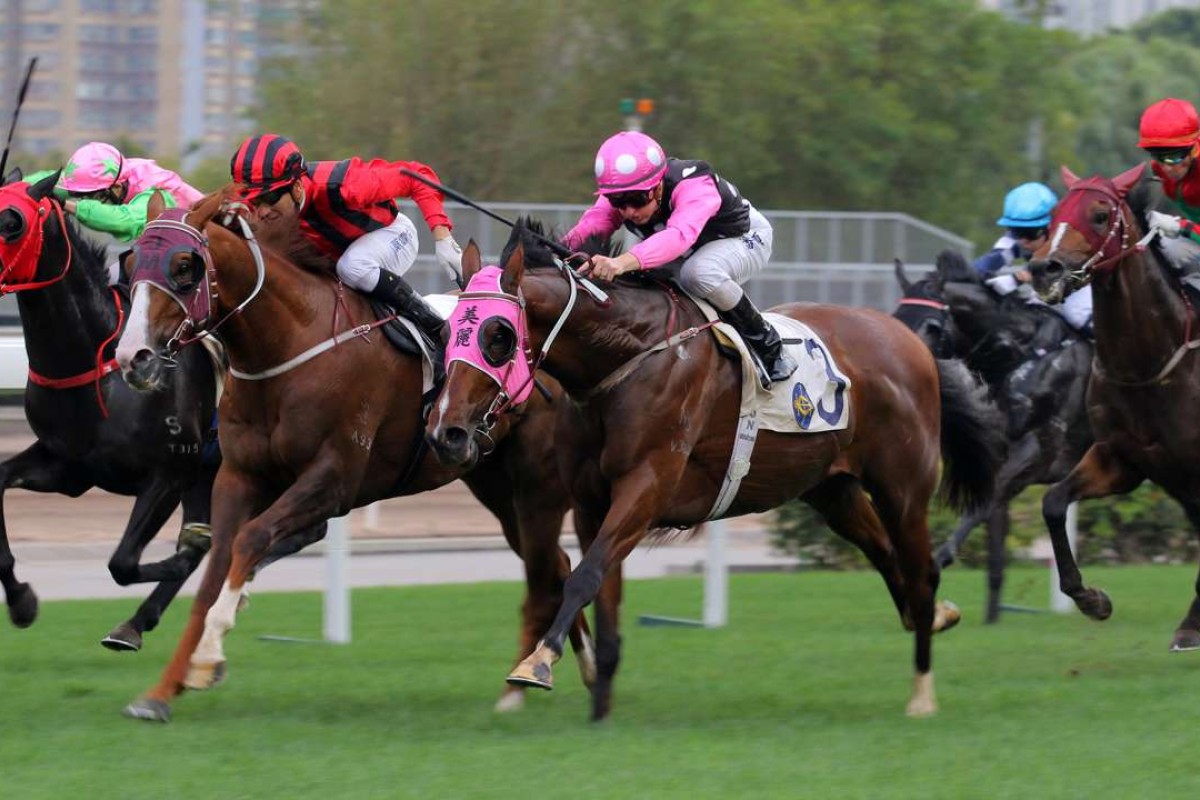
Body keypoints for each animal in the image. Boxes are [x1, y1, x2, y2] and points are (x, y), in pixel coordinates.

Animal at [0, 173, 220, 652]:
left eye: (11, 223)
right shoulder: (70, 467)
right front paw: (22, 602)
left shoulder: (168, 474)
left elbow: (124, 562)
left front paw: (180, 557)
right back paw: (136, 621)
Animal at [117, 189, 595, 724]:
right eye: (131, 261)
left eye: (185, 265)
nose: (133, 357)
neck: (288, 344)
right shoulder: (239, 476)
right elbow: (215, 568)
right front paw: (163, 690)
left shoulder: (334, 479)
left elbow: (251, 538)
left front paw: (208, 657)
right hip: (492, 481)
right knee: (551, 561)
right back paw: (554, 670)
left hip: (536, 485)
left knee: (545, 568)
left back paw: (539, 675)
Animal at [424, 221, 1003, 724]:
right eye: (447, 330)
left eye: (498, 335)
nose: (445, 432)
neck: (626, 357)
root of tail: (908, 337)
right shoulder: (591, 500)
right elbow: (598, 588)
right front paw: (600, 706)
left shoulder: (646, 486)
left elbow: (582, 576)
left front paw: (537, 664)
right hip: (832, 489)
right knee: (887, 556)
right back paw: (935, 617)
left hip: (904, 487)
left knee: (921, 569)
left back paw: (922, 692)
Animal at [1027, 164, 1200, 652]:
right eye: (1053, 217)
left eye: (1101, 215)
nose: (1044, 268)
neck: (1149, 365)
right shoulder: (1121, 459)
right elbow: (1053, 502)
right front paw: (1091, 599)